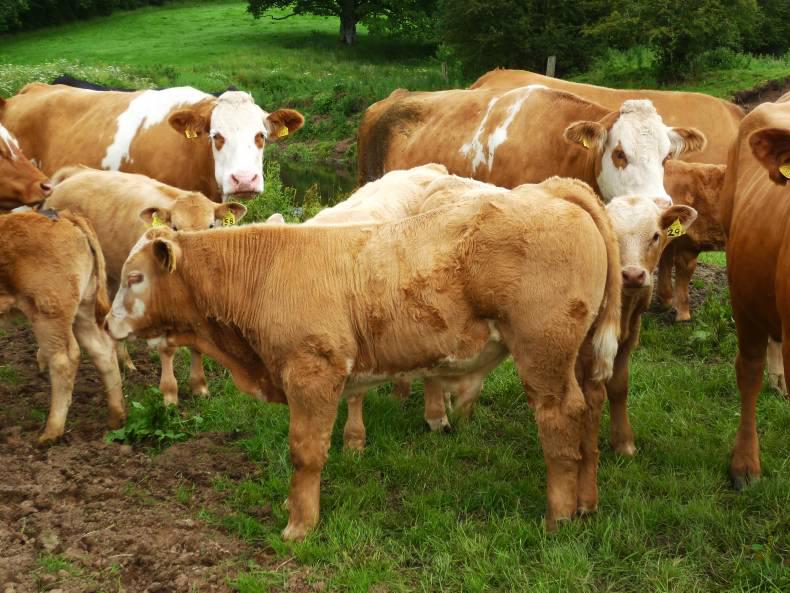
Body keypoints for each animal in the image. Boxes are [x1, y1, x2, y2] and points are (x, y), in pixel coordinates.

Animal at [0, 210, 125, 444]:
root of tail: (64, 216)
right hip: (83, 309)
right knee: (102, 351)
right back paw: (116, 418)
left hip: (49, 314)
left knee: (63, 361)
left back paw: (51, 432)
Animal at [44, 166, 246, 405]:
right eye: (175, 226)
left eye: (211, 225)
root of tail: (74, 173)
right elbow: (166, 348)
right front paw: (169, 394)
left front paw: (199, 386)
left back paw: (126, 363)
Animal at [105, 176, 622, 539]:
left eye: (134, 278)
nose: (108, 324)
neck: (265, 272)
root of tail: (553, 190)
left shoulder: (312, 372)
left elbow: (306, 452)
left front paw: (299, 524)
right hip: (581, 354)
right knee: (590, 410)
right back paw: (587, 503)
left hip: (543, 354)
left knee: (560, 418)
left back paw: (557, 516)